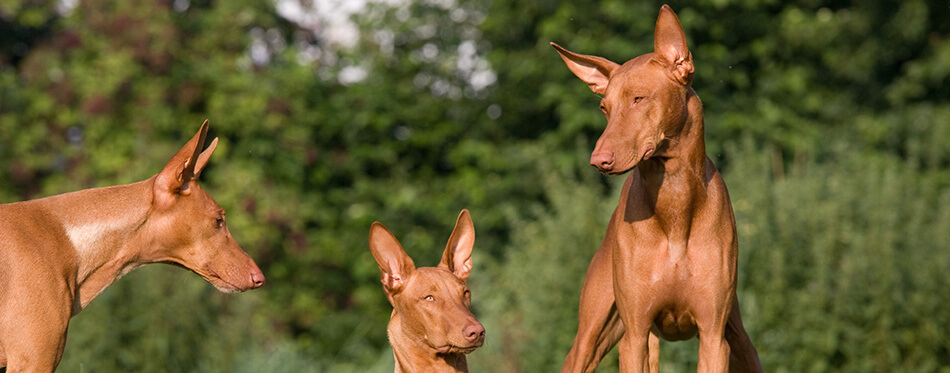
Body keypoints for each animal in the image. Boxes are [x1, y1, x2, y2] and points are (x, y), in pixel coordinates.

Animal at [552, 4, 768, 370]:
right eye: (604, 108)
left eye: (639, 98)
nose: (598, 160)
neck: (674, 202)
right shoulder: (635, 337)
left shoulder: (713, 338)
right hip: (590, 341)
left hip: (740, 342)